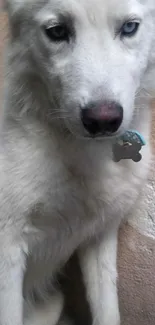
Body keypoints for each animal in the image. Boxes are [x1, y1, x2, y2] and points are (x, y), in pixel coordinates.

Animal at [0, 0, 155, 322]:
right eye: (57, 31)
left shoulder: (101, 234)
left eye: (129, 27)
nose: (102, 121)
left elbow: (108, 309)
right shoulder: (7, 247)